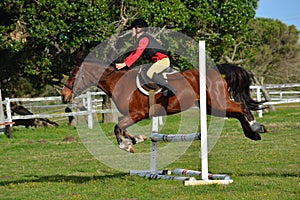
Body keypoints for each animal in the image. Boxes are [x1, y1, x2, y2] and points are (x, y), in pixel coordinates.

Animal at [61, 61, 268, 152]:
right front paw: (136, 140)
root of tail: (215, 71)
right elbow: (122, 128)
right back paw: (252, 134)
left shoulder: (137, 114)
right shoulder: (134, 116)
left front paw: (126, 145)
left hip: (217, 102)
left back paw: (257, 127)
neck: (119, 82)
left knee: (242, 108)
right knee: (238, 113)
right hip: (212, 107)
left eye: (73, 76)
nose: (64, 96)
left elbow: (117, 128)